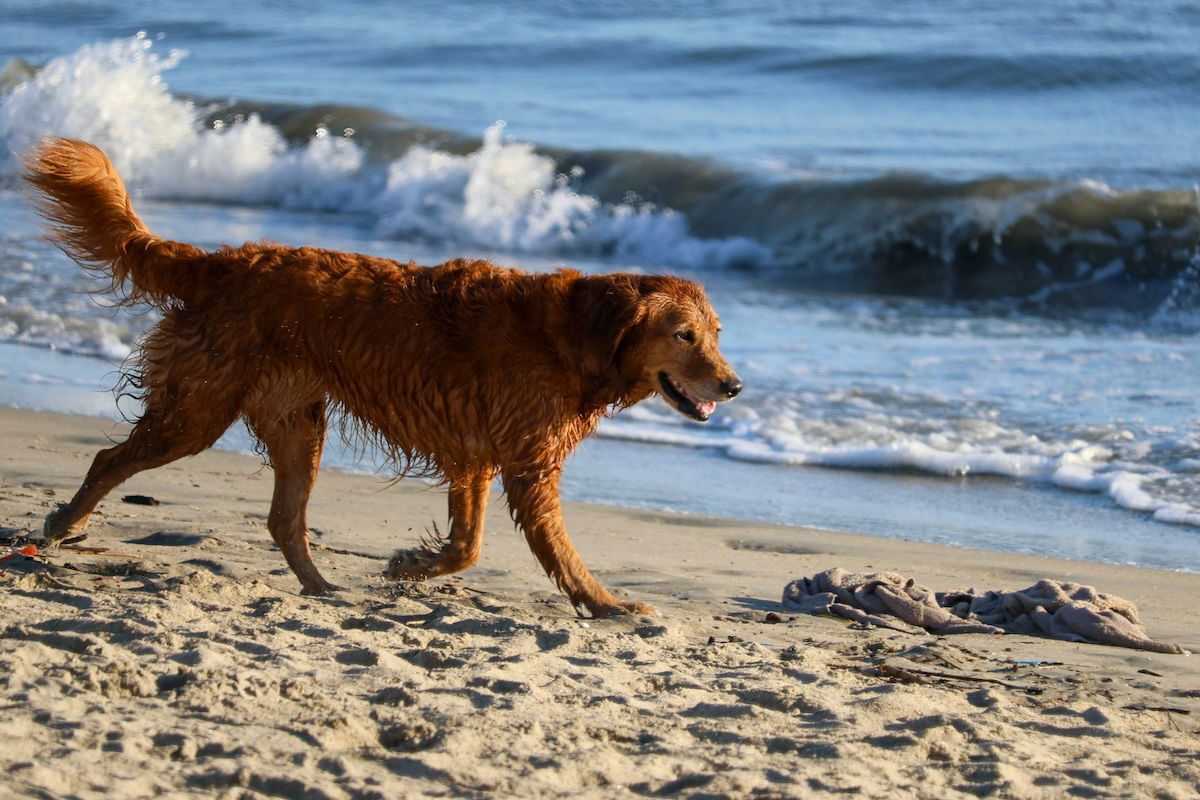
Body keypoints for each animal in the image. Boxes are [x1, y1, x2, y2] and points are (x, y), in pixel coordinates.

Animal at [25, 137, 739, 618]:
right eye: (685, 336)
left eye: (717, 334)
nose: (734, 386)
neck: (577, 334)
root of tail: (219, 262)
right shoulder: (526, 465)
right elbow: (556, 552)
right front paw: (607, 603)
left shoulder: (474, 457)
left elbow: (467, 546)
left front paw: (409, 566)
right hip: (198, 409)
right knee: (110, 458)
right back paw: (62, 526)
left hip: (296, 422)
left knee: (283, 519)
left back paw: (322, 589)